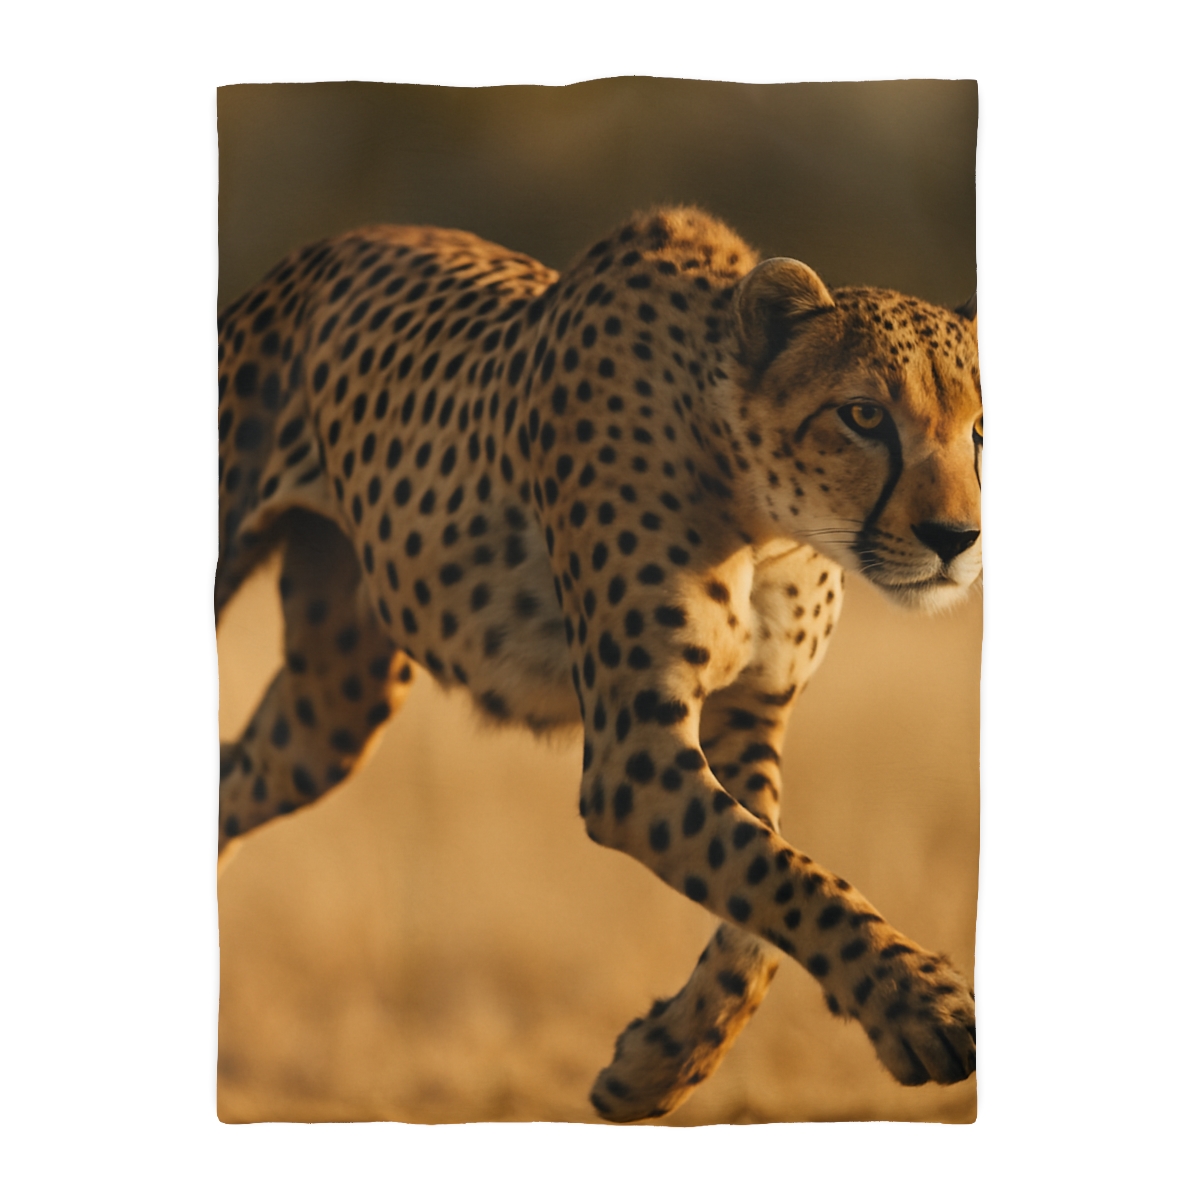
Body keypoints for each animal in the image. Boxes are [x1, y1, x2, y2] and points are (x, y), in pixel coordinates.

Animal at [216, 205, 982, 1122]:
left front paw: (658, 1062)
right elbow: (780, 872)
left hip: (334, 705)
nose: (957, 539)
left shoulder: (748, 714)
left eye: (979, 431)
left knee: (232, 776)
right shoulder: (633, 759)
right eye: (865, 416)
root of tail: (333, 243)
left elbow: (763, 900)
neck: (765, 517)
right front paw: (923, 1006)